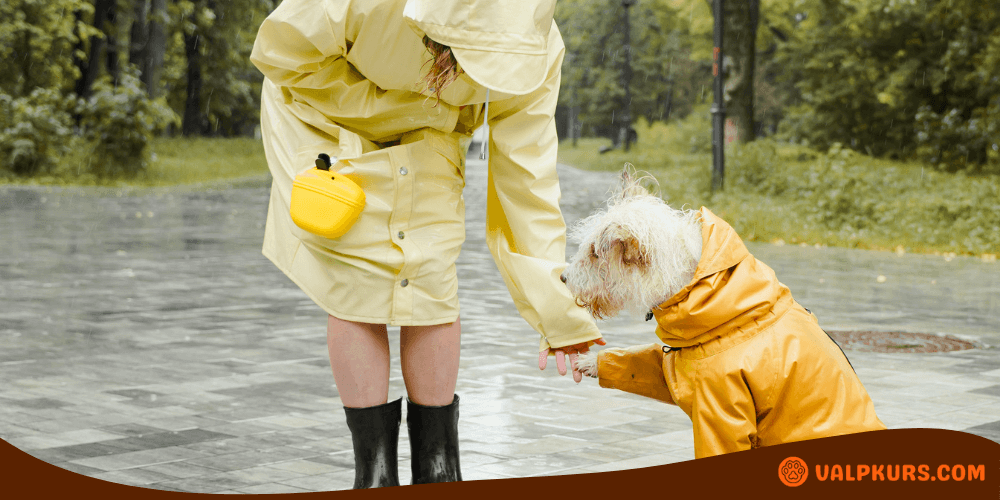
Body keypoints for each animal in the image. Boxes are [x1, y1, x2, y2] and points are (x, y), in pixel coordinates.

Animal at [564, 167, 884, 458]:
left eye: (595, 253)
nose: (563, 278)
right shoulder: (677, 368)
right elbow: (647, 364)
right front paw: (589, 361)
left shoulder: (723, 405)